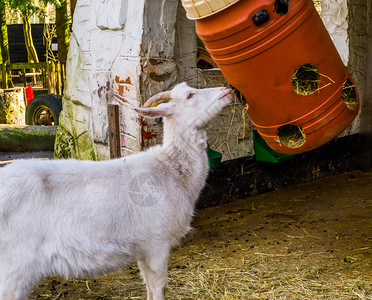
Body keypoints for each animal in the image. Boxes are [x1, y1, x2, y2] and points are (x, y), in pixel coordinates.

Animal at [0, 82, 231, 300]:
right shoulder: (157, 242)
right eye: (190, 95)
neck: (171, 171)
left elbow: (148, 284)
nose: (226, 90)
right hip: (15, 267)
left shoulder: (143, 250)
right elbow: (159, 285)